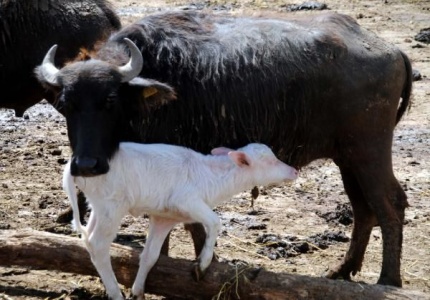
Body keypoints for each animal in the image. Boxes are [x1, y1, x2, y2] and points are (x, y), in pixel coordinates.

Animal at [63, 142, 296, 298]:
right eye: (269, 160)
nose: (294, 171)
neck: (212, 176)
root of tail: (73, 164)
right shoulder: (186, 199)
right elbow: (215, 221)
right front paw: (202, 264)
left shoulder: (165, 217)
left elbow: (150, 256)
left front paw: (138, 291)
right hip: (112, 205)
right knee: (98, 244)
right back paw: (114, 293)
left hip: (99, 206)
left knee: (88, 240)